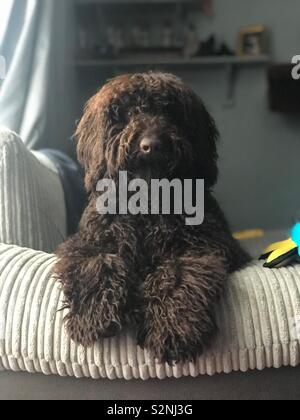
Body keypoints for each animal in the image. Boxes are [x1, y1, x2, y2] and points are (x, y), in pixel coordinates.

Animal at [54, 73, 251, 364]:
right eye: (125, 113)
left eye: (170, 111)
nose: (152, 145)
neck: (147, 203)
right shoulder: (87, 242)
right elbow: (97, 262)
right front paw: (93, 314)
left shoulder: (204, 248)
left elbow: (175, 274)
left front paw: (172, 328)